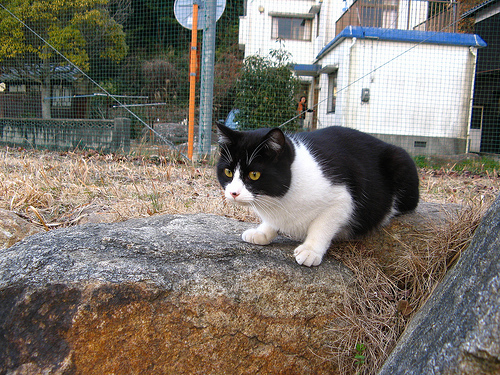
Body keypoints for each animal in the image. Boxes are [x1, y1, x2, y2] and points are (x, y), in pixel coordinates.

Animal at [216, 125, 418, 268]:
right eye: (228, 172)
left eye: (254, 175)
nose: (233, 193)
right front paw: (263, 232)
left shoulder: (342, 198)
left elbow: (322, 225)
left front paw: (310, 250)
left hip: (400, 162)